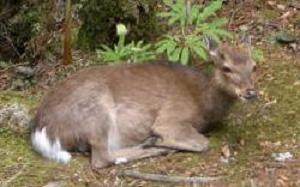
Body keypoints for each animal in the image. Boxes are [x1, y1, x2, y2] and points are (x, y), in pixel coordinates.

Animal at [32, 38, 258, 169]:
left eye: (254, 66)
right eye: (226, 68)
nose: (250, 92)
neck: (203, 104)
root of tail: (40, 129)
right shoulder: (170, 118)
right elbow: (203, 143)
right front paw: (158, 140)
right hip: (95, 111)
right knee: (101, 158)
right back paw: (154, 145)